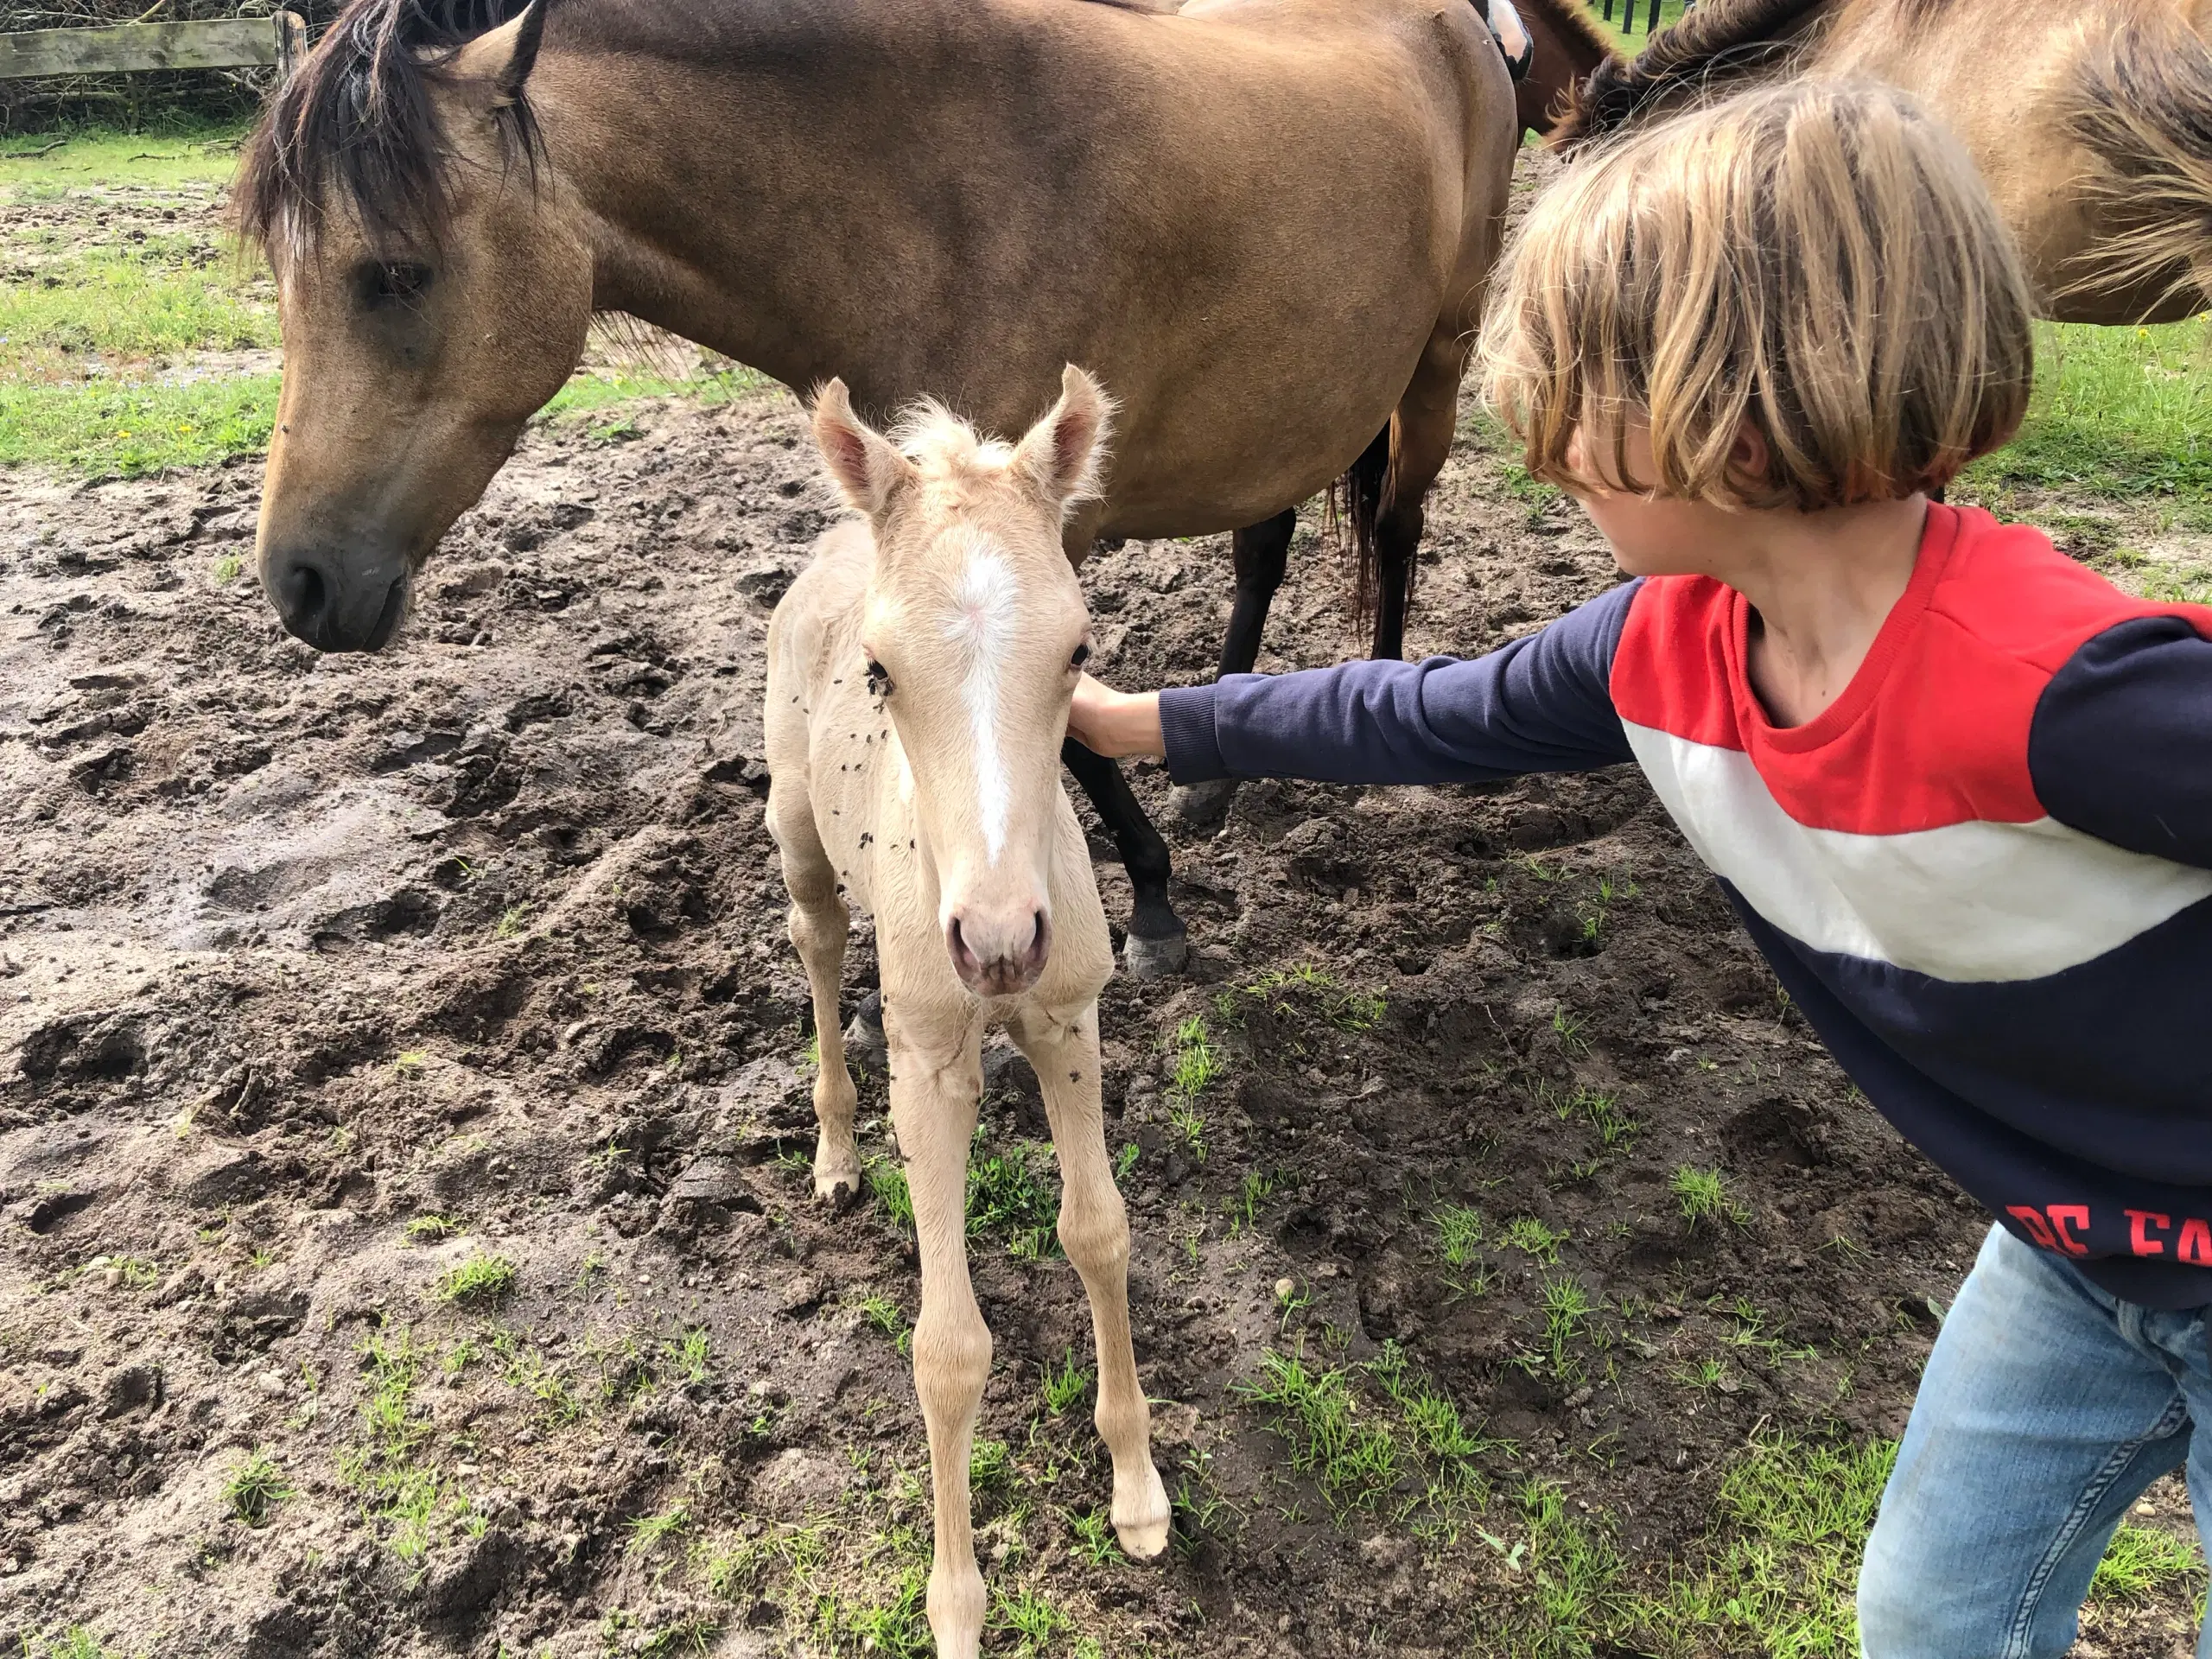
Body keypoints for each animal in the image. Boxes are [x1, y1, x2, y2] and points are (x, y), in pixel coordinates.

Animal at [233, 0, 1530, 973]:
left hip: (1439, 357)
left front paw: (1154, 907)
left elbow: (1065, 723)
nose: (299, 583)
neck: (935, 196)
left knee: (1399, 528)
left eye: (393, 274)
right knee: (1264, 546)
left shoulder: (1043, 525)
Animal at [765, 369, 1176, 1654]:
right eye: (880, 673)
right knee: (815, 941)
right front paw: (954, 1607)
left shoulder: (1070, 1021)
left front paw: (1138, 1492)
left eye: (1080, 649)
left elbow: (1100, 1233)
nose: (997, 944)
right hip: (794, 828)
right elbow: (946, 1349)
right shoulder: (929, 1064)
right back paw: (837, 1154)